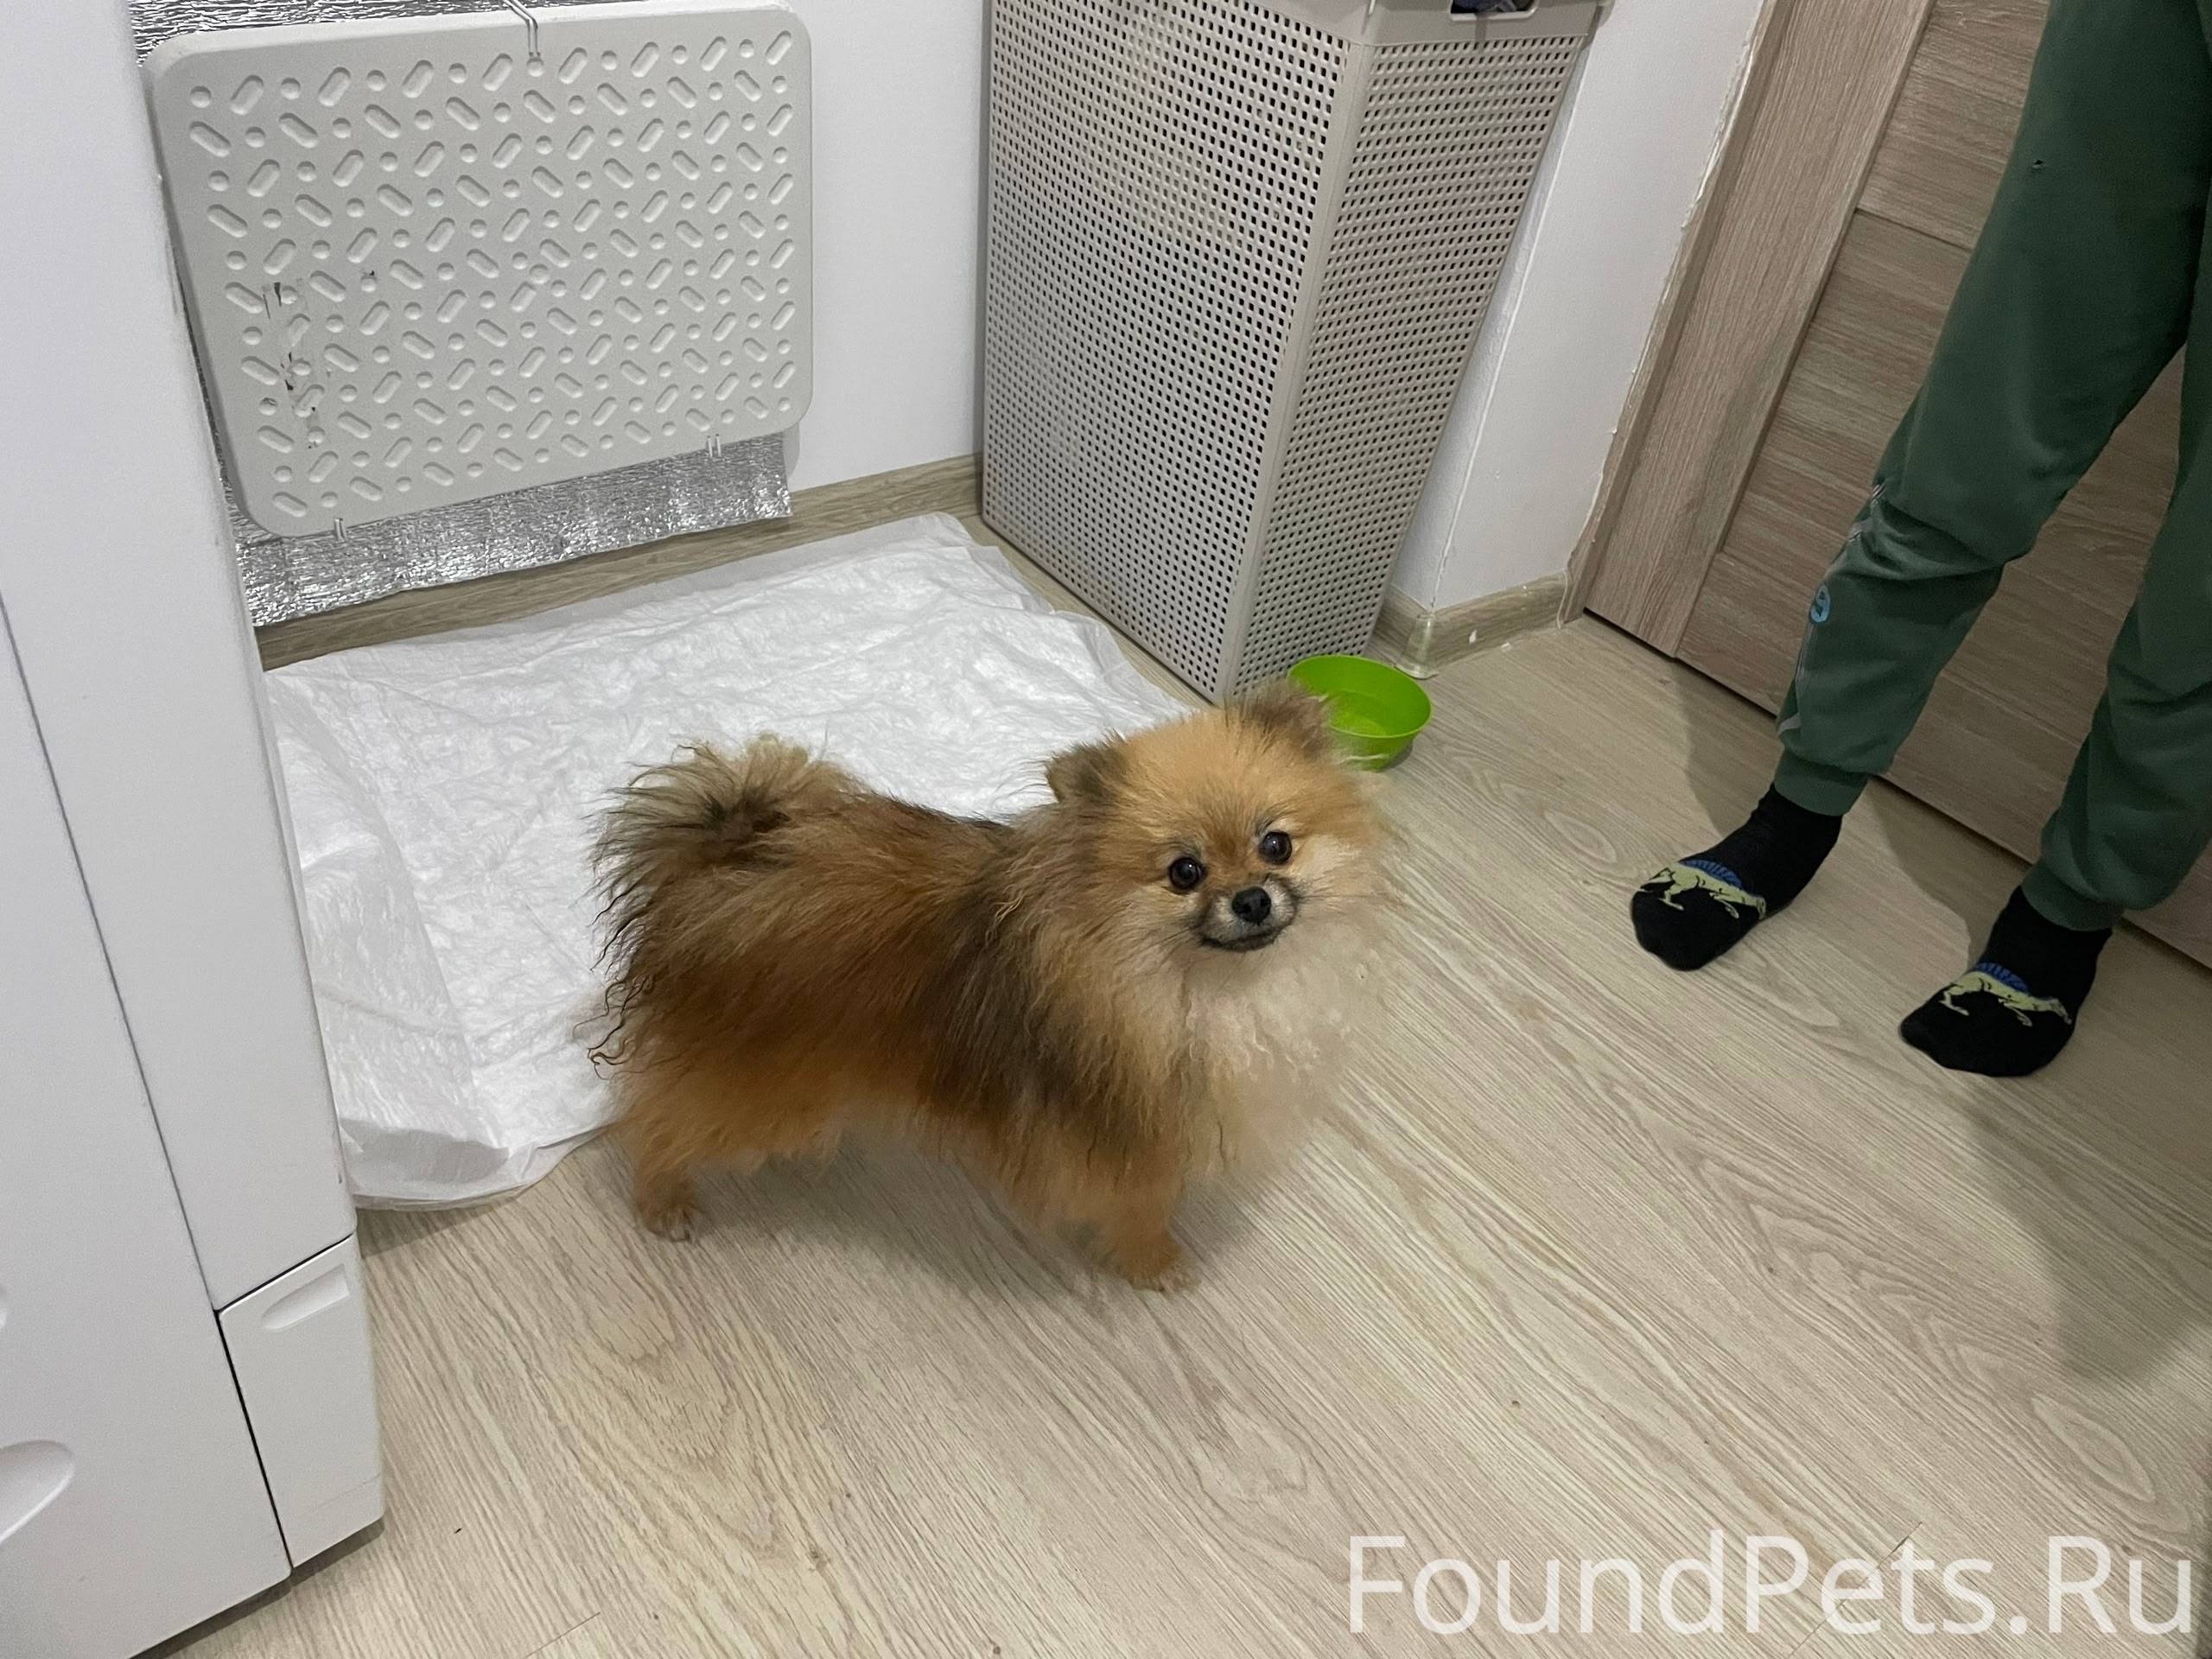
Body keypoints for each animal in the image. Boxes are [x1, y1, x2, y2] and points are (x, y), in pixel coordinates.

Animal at [590, 684, 1385, 1290]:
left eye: (1276, 844)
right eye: (1183, 872)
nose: (1251, 898)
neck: (1197, 985)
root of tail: (715, 862)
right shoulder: (1127, 1140)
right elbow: (1142, 1209)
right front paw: (1157, 1265)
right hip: (755, 1084)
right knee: (654, 1122)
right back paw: (663, 1203)